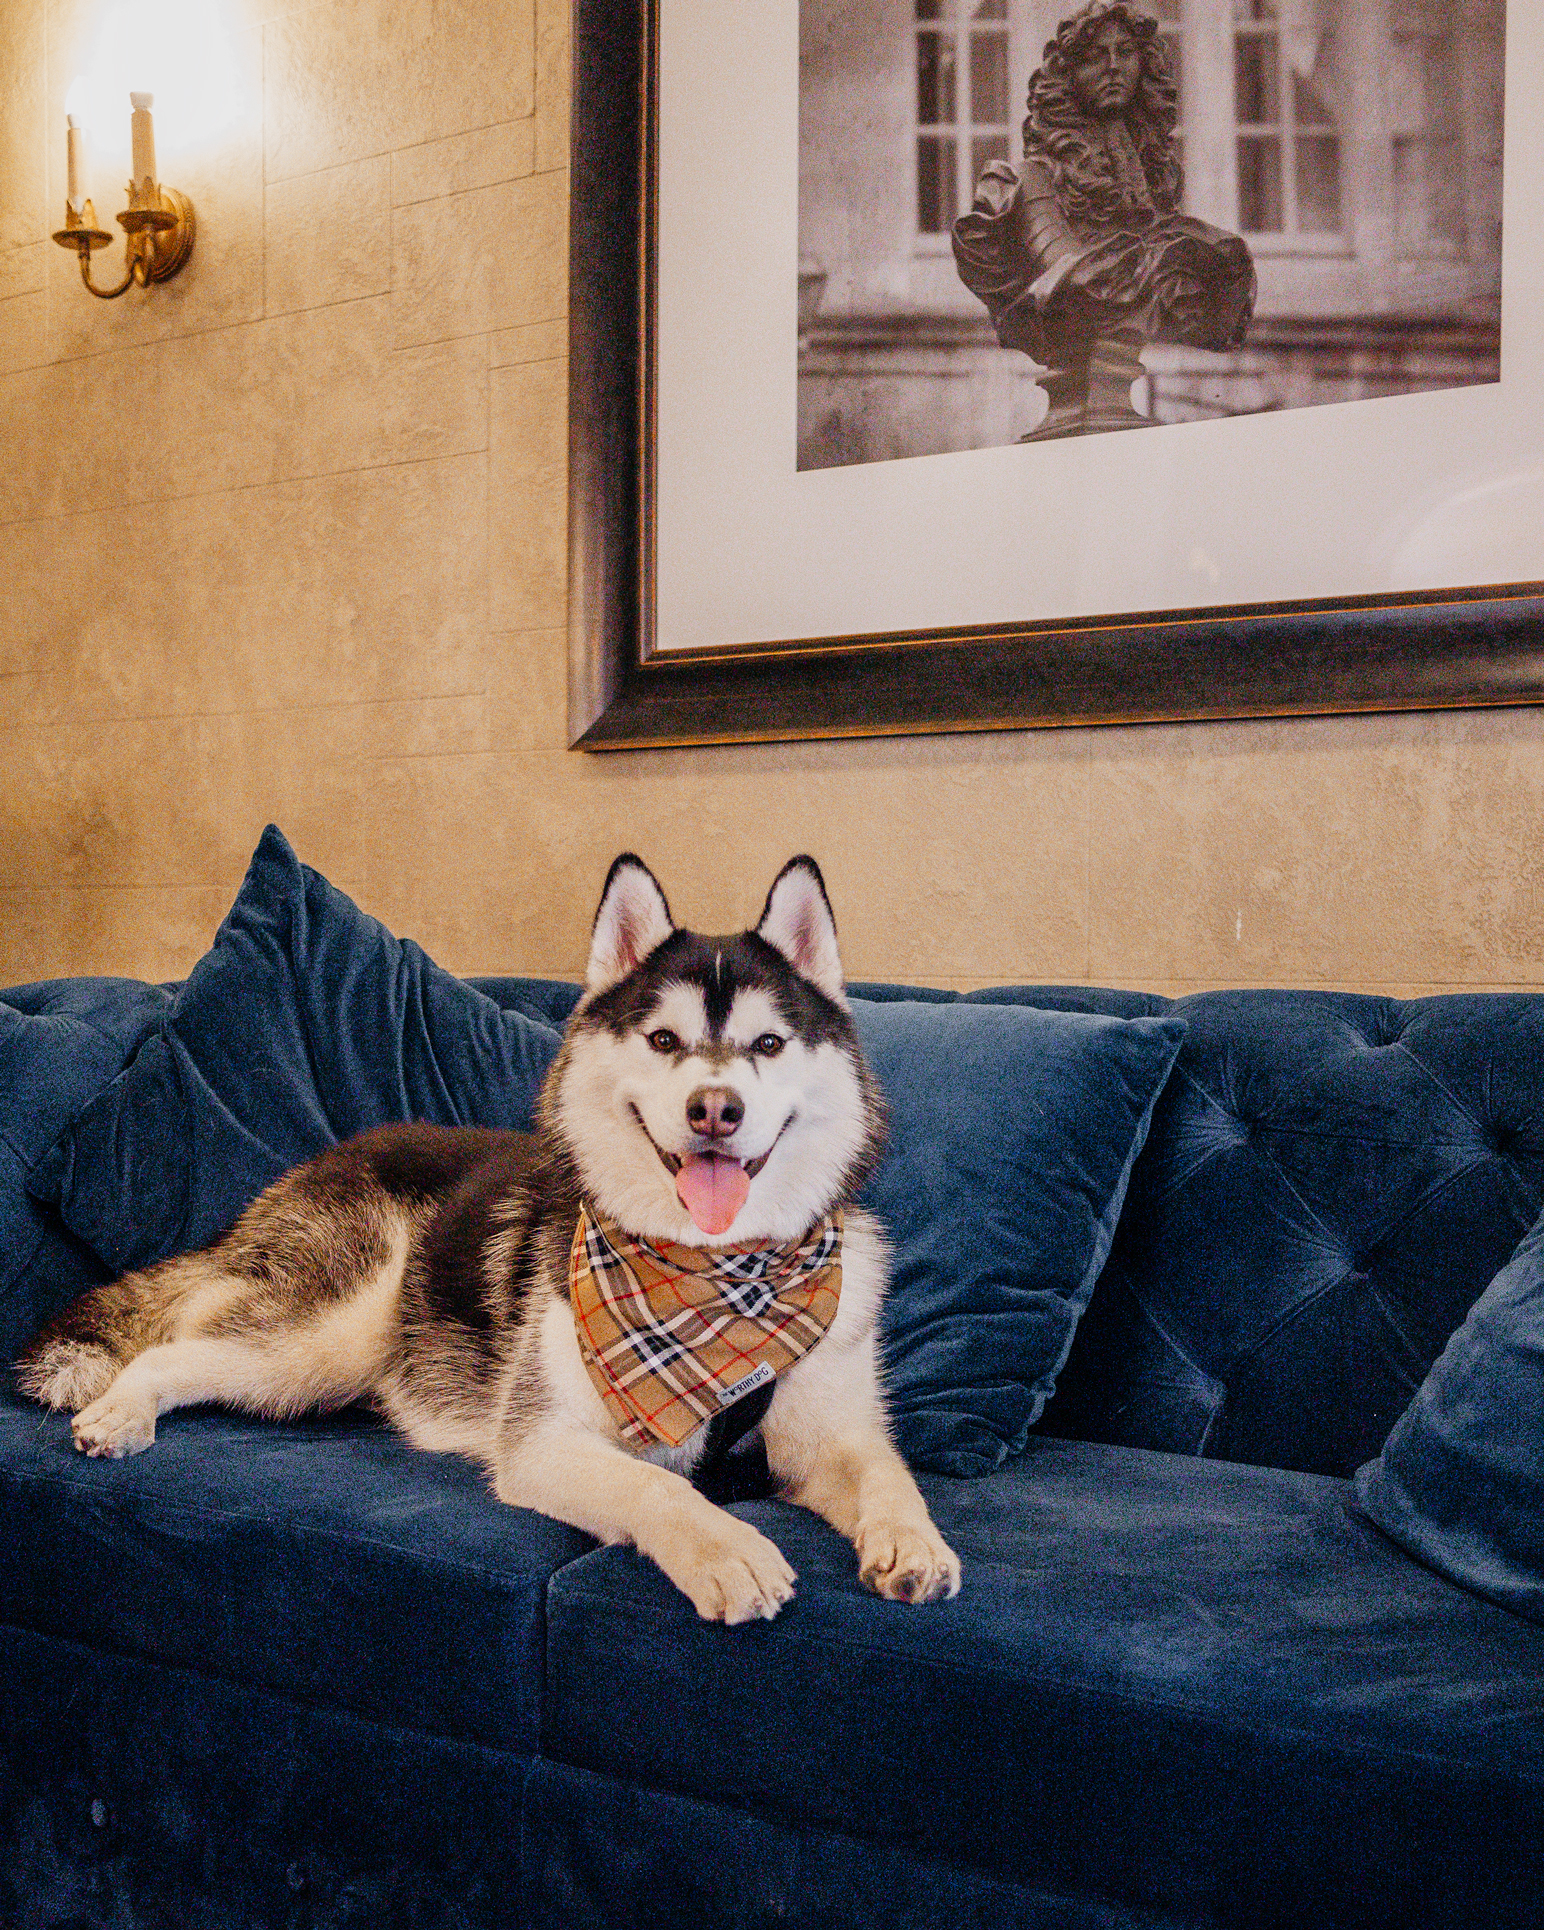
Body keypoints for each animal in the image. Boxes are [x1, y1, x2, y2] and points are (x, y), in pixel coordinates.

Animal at [18, 853, 957, 1621]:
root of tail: (313, 1163)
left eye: (768, 1042)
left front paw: (914, 1539)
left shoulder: (822, 1438)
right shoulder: (544, 1442)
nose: (714, 1109)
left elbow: (884, 1471)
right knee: (174, 1349)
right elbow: (659, 1488)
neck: (723, 1275)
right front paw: (727, 1547)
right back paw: (122, 1411)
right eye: (663, 1039)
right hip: (333, 1333)